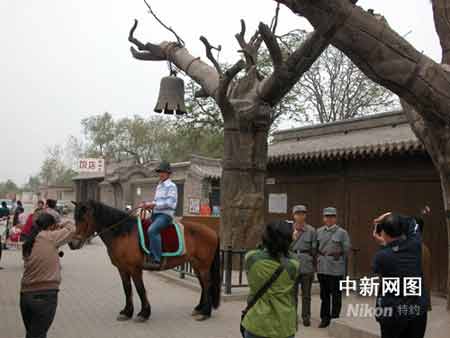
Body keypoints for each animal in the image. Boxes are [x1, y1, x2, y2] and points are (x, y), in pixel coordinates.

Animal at [67, 201, 221, 322]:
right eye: (75, 218)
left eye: (84, 219)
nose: (72, 243)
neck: (123, 232)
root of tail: (213, 232)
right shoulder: (122, 269)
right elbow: (127, 289)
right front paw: (127, 312)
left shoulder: (135, 269)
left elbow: (140, 289)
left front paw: (144, 313)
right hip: (196, 265)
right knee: (203, 285)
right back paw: (199, 309)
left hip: (203, 266)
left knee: (207, 285)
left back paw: (205, 313)